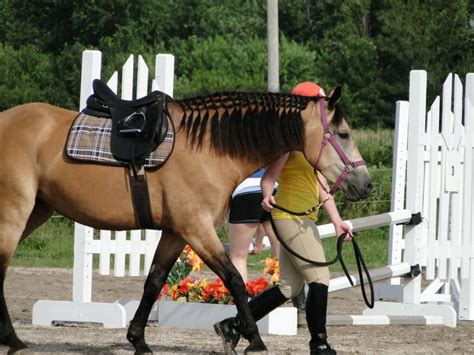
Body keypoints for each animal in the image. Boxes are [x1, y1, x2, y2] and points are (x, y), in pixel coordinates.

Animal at [0, 85, 374, 354]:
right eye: (343, 134)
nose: (366, 183)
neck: (208, 148)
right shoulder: (197, 229)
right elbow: (234, 279)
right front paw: (253, 339)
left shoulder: (176, 233)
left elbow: (154, 281)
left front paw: (139, 340)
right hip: (15, 212)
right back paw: (13, 340)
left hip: (37, 211)